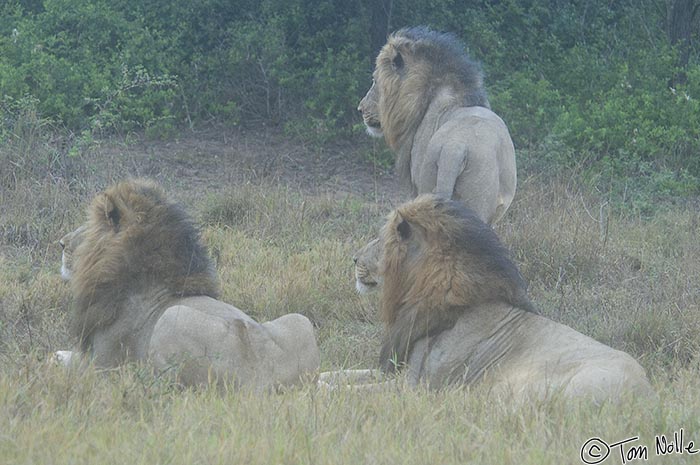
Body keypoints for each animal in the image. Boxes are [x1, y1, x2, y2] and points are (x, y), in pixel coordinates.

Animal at [57, 179, 320, 390]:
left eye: (89, 226)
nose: (61, 243)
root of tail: (262, 383)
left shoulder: (101, 363)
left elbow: (63, 360)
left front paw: (56, 356)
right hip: (300, 320)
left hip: (171, 319)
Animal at [350, 194, 656, 400]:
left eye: (380, 239)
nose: (354, 258)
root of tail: (645, 396)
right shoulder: (394, 370)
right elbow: (345, 374)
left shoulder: (416, 387)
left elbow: (353, 390)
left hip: (516, 388)